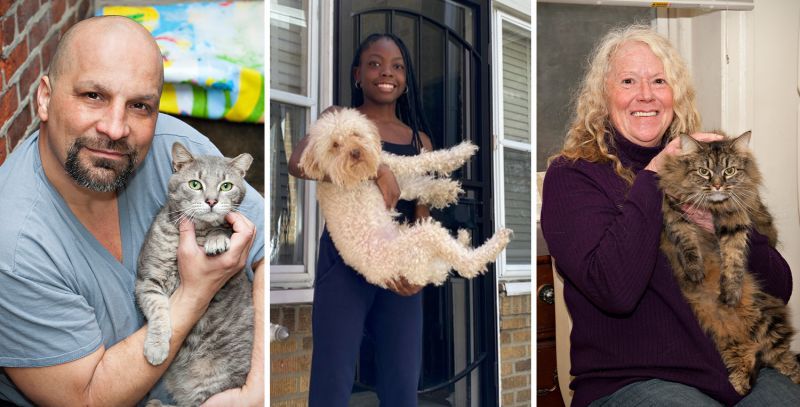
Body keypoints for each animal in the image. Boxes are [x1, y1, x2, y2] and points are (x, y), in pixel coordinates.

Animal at [134, 142, 253, 406]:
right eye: (195, 184)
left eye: (226, 186)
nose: (211, 201)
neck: (197, 232)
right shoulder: (148, 279)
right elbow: (158, 310)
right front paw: (156, 346)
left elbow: (224, 228)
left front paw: (217, 238)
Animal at [300, 107, 512, 288]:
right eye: (334, 145)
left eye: (355, 134)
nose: (355, 152)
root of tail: (415, 276)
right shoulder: (389, 165)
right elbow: (421, 161)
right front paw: (460, 153)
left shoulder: (389, 178)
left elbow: (419, 186)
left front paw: (446, 190)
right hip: (423, 237)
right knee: (466, 265)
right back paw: (497, 240)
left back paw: (463, 237)